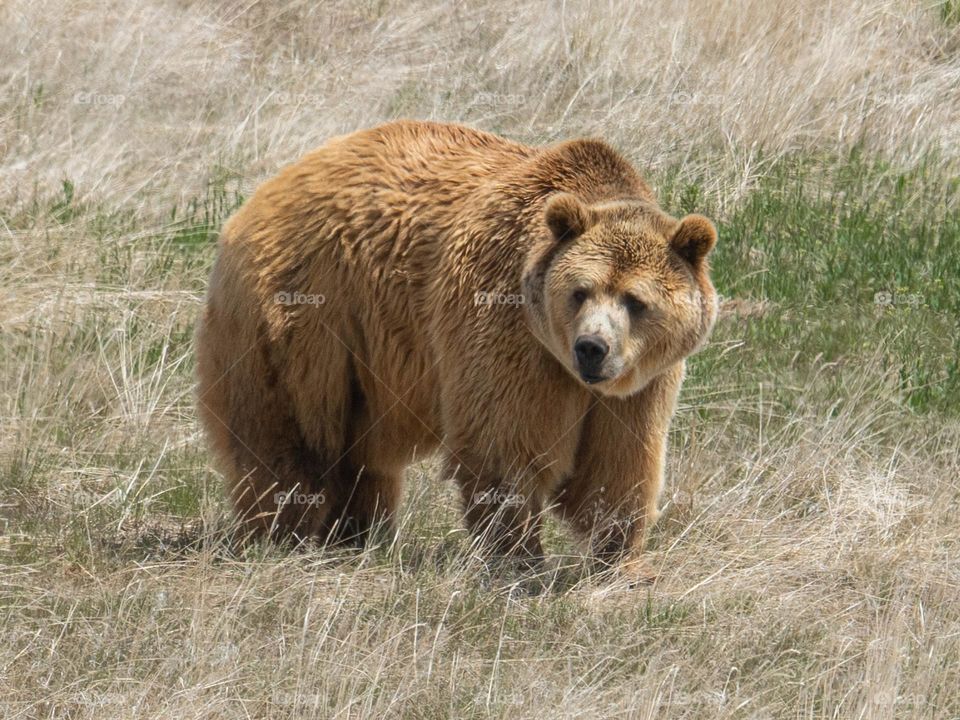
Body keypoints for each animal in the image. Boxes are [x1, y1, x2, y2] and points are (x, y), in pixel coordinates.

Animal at [195, 120, 718, 582]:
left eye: (635, 300)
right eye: (579, 292)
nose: (592, 348)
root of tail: (263, 193)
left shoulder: (641, 382)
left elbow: (620, 462)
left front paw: (624, 563)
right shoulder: (507, 330)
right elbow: (504, 445)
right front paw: (519, 560)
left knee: (361, 457)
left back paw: (356, 533)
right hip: (304, 315)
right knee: (288, 436)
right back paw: (284, 534)